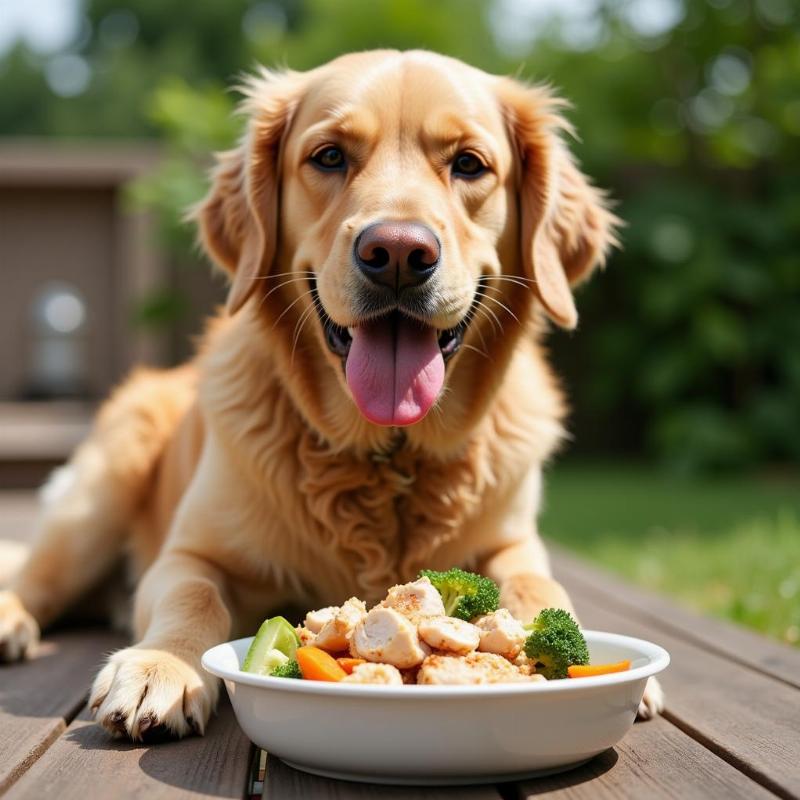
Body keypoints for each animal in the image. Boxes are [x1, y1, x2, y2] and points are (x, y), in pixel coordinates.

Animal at [0, 51, 664, 736]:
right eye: (328, 156)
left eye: (469, 164)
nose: (397, 252)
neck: (389, 457)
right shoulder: (189, 554)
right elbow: (194, 594)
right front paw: (161, 666)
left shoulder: (514, 545)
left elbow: (539, 589)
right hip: (102, 488)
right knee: (34, 576)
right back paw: (11, 620)